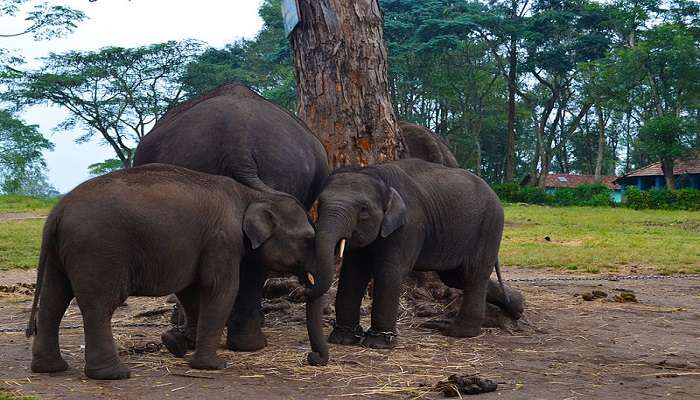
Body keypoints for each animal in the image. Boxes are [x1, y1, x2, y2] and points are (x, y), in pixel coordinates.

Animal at [27, 163, 330, 382]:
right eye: (307, 239)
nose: (313, 358)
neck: (252, 195)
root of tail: (57, 212)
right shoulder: (223, 239)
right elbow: (220, 289)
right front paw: (213, 365)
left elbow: (191, 291)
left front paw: (177, 344)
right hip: (97, 250)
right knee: (99, 305)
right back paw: (113, 374)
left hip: (59, 254)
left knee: (53, 300)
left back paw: (50, 368)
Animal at [316, 158, 504, 348]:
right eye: (319, 204)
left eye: (363, 209)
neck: (378, 175)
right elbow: (353, 273)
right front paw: (342, 339)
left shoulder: (409, 226)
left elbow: (389, 272)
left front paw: (378, 343)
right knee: (455, 278)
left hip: (489, 227)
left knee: (473, 274)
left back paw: (459, 332)